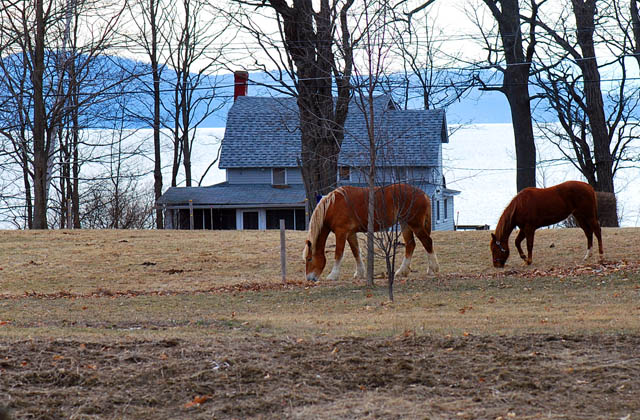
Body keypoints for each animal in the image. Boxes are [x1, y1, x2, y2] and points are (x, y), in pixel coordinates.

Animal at [302, 184, 438, 282]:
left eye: (309, 259)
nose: (309, 279)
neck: (333, 205)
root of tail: (423, 194)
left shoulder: (341, 233)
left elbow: (338, 254)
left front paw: (333, 275)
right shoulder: (350, 233)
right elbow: (356, 252)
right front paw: (360, 273)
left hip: (415, 224)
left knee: (427, 242)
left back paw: (433, 269)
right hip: (405, 224)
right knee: (410, 245)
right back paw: (402, 271)